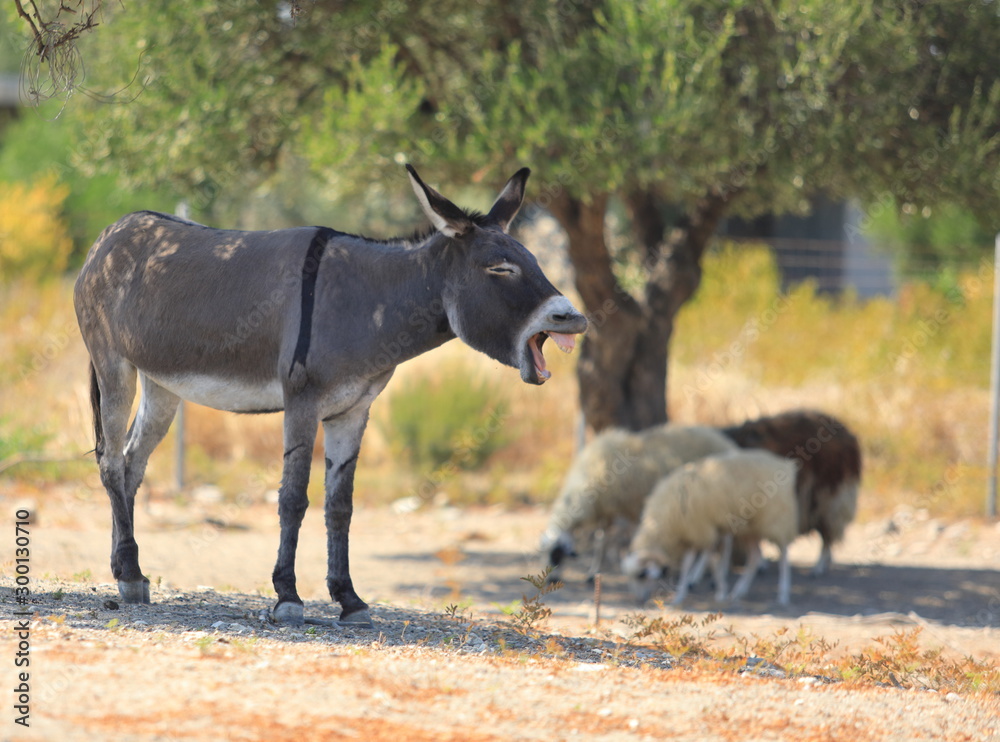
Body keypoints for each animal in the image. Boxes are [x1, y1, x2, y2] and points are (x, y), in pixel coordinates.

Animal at [540, 424, 744, 580]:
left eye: (556, 554)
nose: (550, 580)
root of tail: (726, 442)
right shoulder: (607, 511)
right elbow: (601, 542)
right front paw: (593, 572)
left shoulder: (625, 508)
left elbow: (615, 539)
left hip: (710, 503)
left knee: (719, 542)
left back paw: (699, 576)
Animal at [620, 450, 800, 608]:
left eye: (641, 575)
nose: (638, 600)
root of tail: (784, 464)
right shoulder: (691, 533)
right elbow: (687, 565)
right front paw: (679, 596)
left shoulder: (703, 529)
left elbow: (711, 562)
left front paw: (720, 592)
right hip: (750, 527)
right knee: (755, 557)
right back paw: (738, 592)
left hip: (776, 518)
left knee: (784, 554)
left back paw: (783, 594)